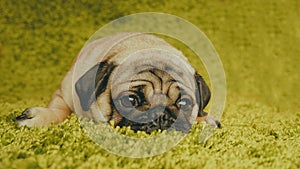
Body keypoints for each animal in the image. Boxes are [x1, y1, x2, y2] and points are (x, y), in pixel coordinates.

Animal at [14, 32, 220, 133]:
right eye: (130, 100)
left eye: (183, 102)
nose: (160, 115)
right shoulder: (63, 93)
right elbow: (60, 110)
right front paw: (41, 117)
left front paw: (204, 118)